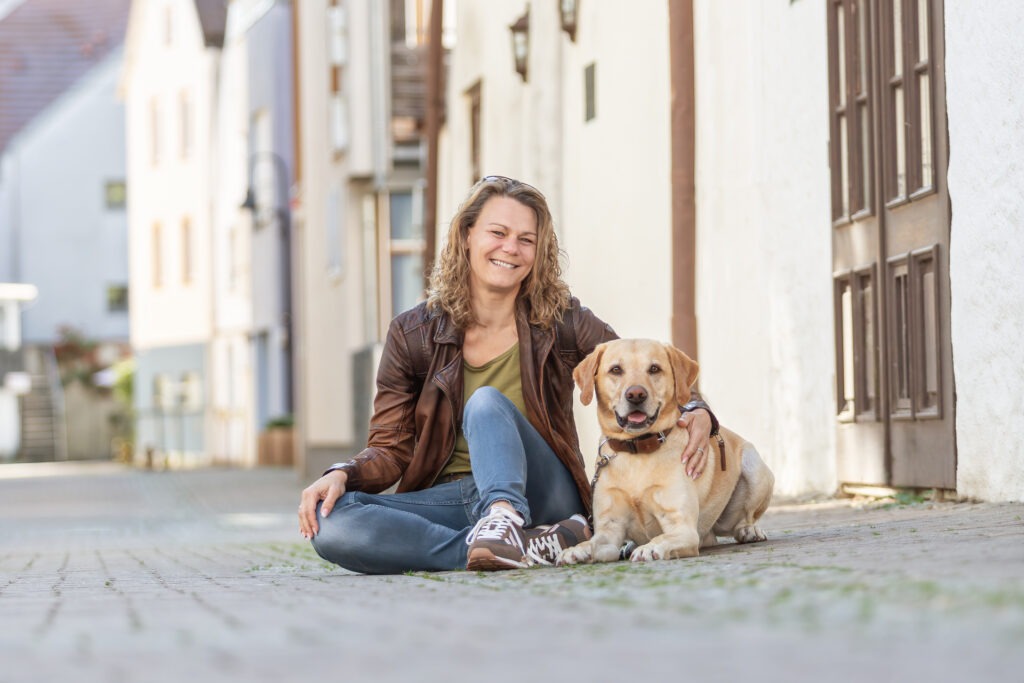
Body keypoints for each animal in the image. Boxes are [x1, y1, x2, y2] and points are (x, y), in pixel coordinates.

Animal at [557, 337, 770, 565]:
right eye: (616, 369)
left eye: (654, 369)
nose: (636, 394)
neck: (636, 450)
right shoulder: (609, 529)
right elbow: (591, 543)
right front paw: (575, 550)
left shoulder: (683, 528)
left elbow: (662, 537)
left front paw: (649, 548)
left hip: (754, 465)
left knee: (746, 517)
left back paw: (750, 530)